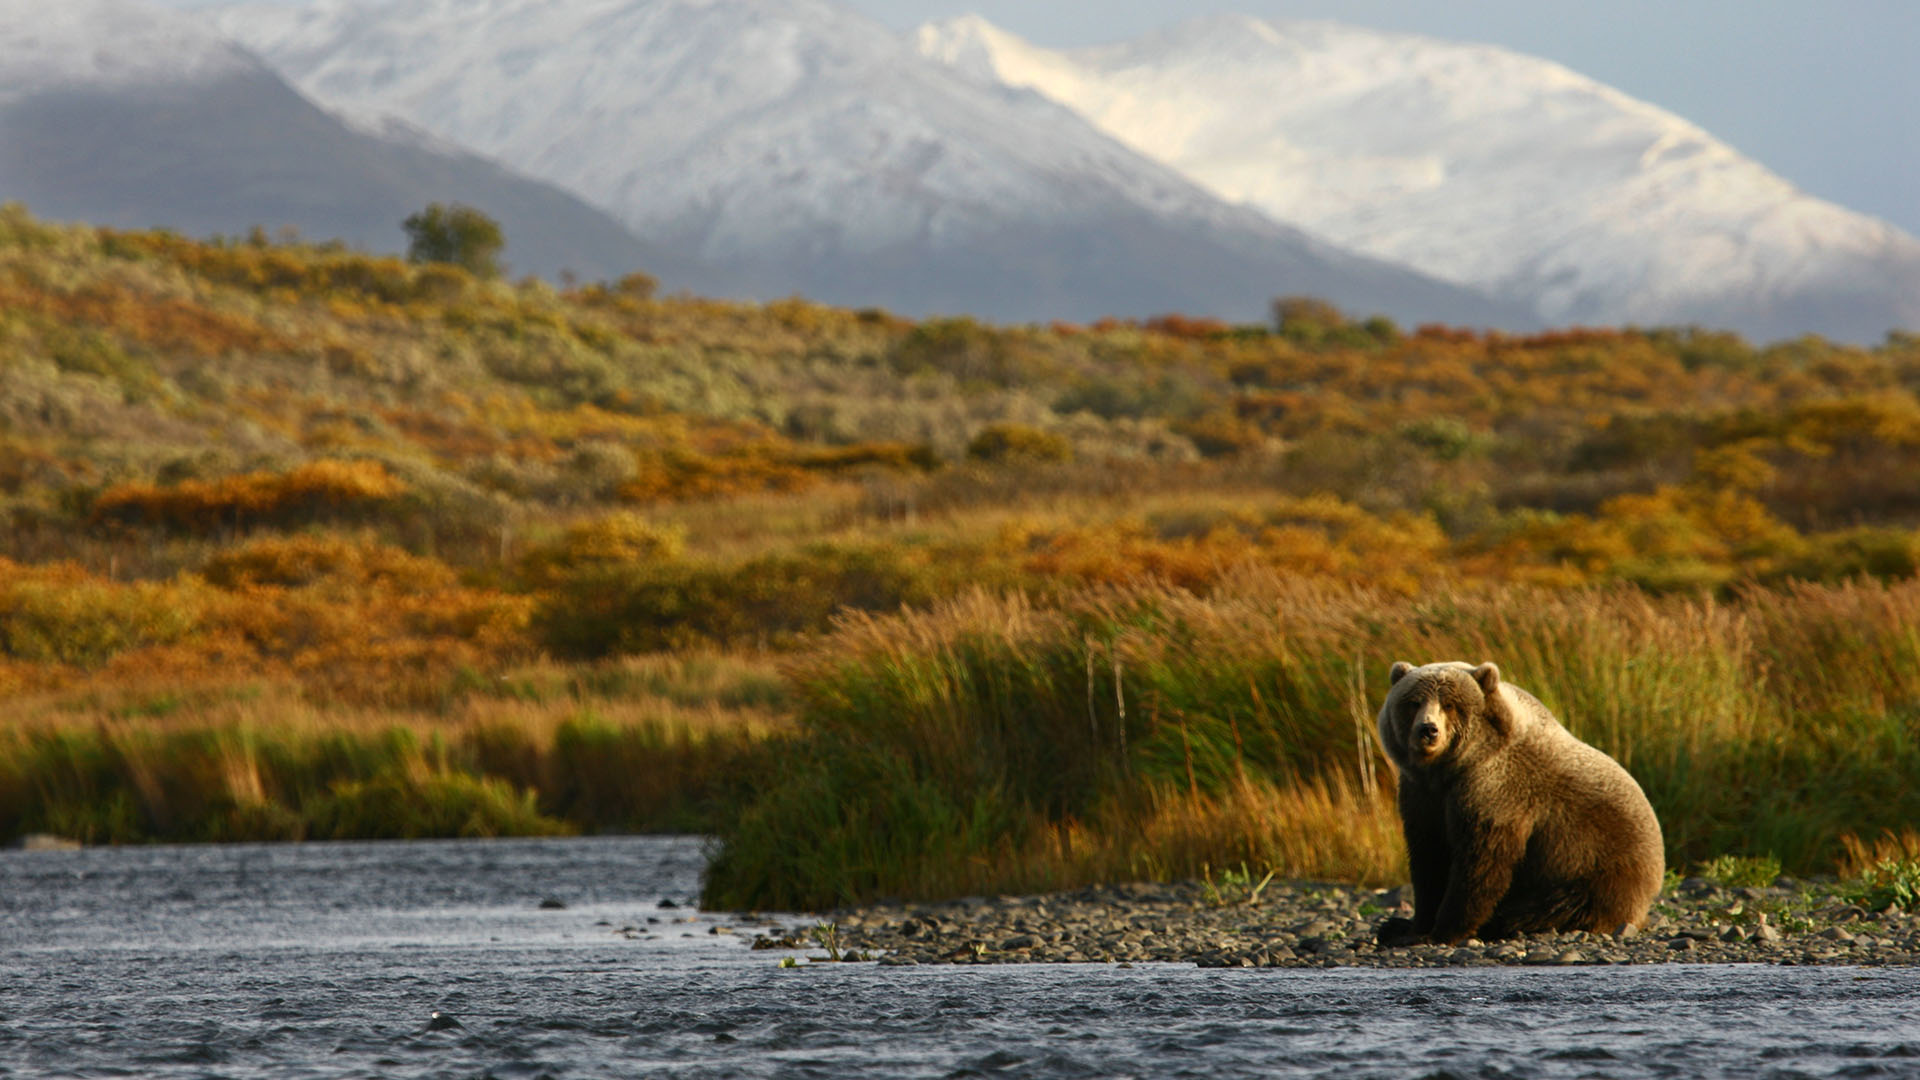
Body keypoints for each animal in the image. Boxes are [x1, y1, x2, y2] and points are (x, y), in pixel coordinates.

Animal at [1373, 661, 1664, 946]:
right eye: (1414, 702)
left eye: (1450, 704)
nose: (1428, 730)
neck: (1448, 769)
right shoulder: (1422, 795)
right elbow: (1428, 858)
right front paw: (1414, 927)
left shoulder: (1495, 791)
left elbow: (1480, 863)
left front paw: (1443, 931)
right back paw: (1392, 926)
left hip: (1596, 869)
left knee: (1555, 907)